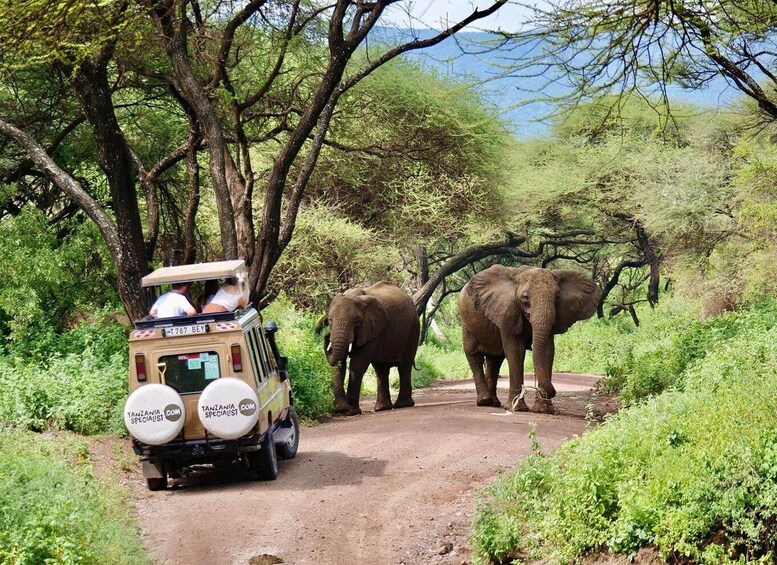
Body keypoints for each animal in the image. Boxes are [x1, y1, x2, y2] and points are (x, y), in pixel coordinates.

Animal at [316, 281, 420, 416]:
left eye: (357, 321)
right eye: (330, 320)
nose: (326, 335)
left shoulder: (372, 328)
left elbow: (357, 364)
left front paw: (351, 412)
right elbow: (339, 365)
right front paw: (341, 409)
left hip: (413, 327)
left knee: (404, 366)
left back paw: (403, 405)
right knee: (381, 369)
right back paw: (382, 408)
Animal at [458, 265, 601, 413]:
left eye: (557, 297)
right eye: (525, 297)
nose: (552, 392)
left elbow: (548, 351)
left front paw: (544, 410)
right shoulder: (508, 312)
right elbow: (516, 351)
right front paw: (517, 408)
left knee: (495, 360)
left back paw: (494, 403)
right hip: (466, 323)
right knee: (474, 355)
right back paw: (484, 401)